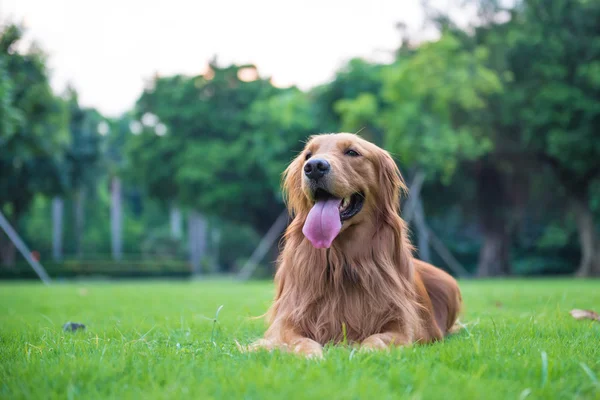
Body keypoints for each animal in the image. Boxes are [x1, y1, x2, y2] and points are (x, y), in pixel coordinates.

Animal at [246, 133, 462, 358]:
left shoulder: (404, 325)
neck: (342, 263)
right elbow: (299, 341)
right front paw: (311, 355)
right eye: (308, 155)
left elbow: (379, 339)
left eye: (352, 152)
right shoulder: (287, 321)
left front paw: (363, 352)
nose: (313, 167)